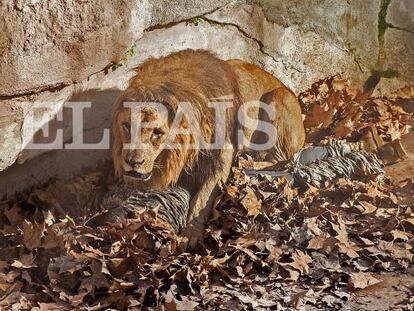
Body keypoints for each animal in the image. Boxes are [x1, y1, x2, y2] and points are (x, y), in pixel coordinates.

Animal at [111, 49, 306, 249]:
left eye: (157, 133)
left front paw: (190, 234)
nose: (132, 162)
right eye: (127, 126)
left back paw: (245, 163)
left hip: (279, 97)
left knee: (282, 160)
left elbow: (203, 197)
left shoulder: (223, 153)